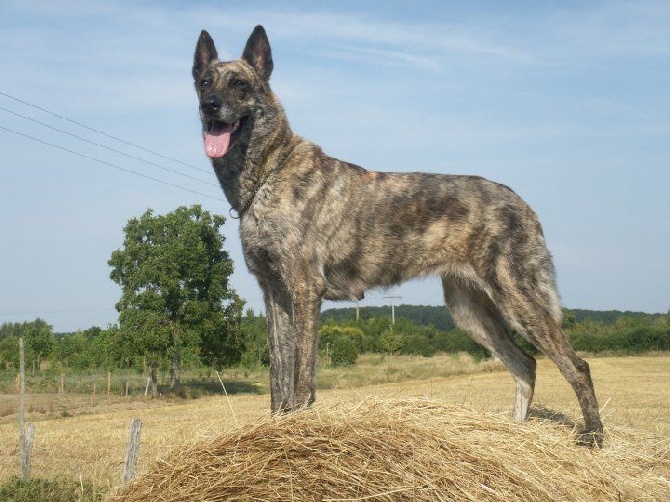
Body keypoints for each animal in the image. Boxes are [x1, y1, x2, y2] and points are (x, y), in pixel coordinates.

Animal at [192, 24, 608, 448]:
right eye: (204, 81)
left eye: (239, 84)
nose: (209, 106)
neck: (269, 172)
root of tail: (522, 203)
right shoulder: (274, 294)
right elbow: (278, 376)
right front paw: (275, 427)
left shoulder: (305, 289)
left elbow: (301, 376)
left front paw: (298, 425)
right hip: (470, 309)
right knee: (525, 364)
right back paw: (514, 432)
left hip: (517, 298)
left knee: (576, 365)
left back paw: (593, 435)